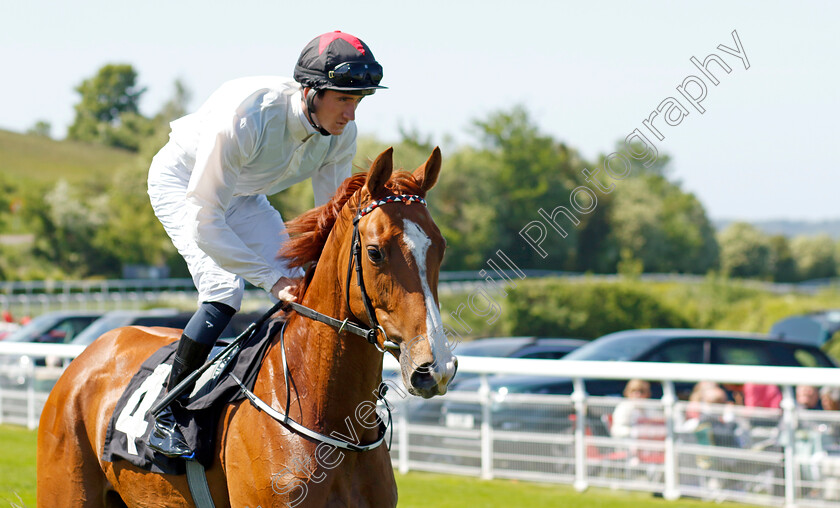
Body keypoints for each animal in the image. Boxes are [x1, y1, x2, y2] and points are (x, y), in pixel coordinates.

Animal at [37, 148, 460, 508]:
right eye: (375, 252)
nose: (434, 369)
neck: (332, 423)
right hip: (67, 490)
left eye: (440, 247)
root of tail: (89, 354)